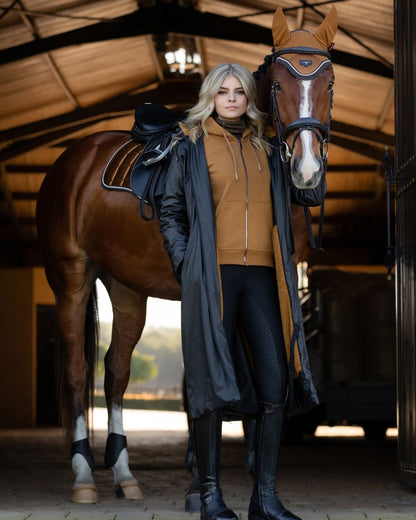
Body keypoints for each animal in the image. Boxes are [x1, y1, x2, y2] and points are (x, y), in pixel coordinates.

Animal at [36, 5, 338, 504]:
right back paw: (84, 476)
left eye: (329, 84)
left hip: (126, 288)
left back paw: (124, 473)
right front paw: (199, 483)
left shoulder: (270, 281)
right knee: (78, 371)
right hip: (71, 277)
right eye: (277, 85)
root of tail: (73, 159)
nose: (307, 168)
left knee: (116, 371)